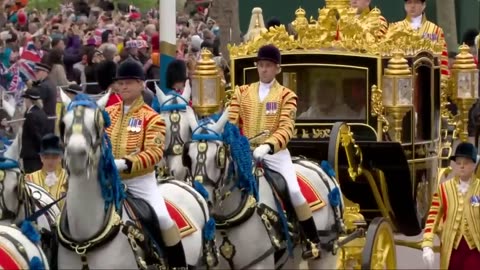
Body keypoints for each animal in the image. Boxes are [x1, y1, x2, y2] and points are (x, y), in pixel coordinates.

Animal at [184, 108, 344, 268]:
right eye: (187, 157)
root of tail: (318, 166)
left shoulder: (260, 264)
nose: (205, 198)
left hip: (326, 252)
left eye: (220, 156)